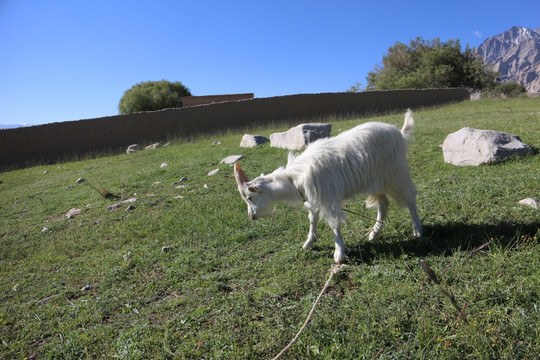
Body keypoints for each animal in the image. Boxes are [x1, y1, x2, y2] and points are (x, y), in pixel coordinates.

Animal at [234, 108, 424, 262]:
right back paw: (374, 233)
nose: (251, 216)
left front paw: (339, 254)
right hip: (376, 181)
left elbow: (334, 224)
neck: (294, 178)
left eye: (249, 197)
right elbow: (313, 220)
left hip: (396, 174)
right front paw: (309, 243)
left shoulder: (328, 198)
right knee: (383, 203)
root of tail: (400, 133)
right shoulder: (313, 198)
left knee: (410, 198)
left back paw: (417, 230)